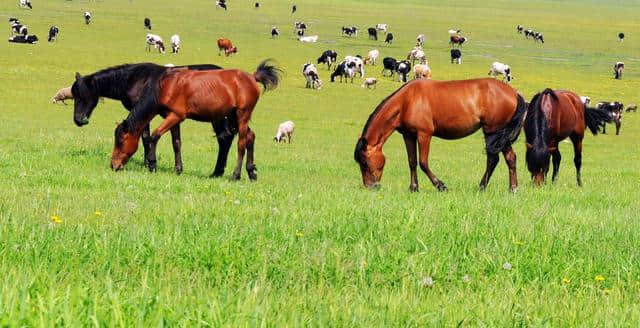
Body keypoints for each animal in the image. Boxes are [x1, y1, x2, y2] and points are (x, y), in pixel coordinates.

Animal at [72, 62, 239, 176]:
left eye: (82, 96)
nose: (78, 120)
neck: (136, 79)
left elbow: (146, 138)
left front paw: (149, 163)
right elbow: (175, 143)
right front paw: (176, 169)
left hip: (216, 117)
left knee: (224, 137)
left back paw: (217, 171)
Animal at [110, 60, 280, 181]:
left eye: (120, 142)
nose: (113, 165)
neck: (167, 86)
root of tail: (252, 76)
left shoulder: (176, 116)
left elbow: (154, 136)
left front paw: (152, 164)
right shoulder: (173, 118)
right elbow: (176, 143)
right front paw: (177, 169)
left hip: (242, 115)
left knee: (241, 144)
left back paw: (236, 175)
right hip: (233, 117)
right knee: (250, 137)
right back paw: (251, 172)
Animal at [356, 78, 524, 192]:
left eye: (364, 162)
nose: (370, 186)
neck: (407, 101)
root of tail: (514, 93)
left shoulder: (424, 135)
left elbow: (423, 162)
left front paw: (441, 186)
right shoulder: (408, 135)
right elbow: (412, 162)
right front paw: (413, 187)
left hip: (494, 131)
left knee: (495, 159)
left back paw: (486, 186)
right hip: (497, 135)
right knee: (508, 158)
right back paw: (511, 188)